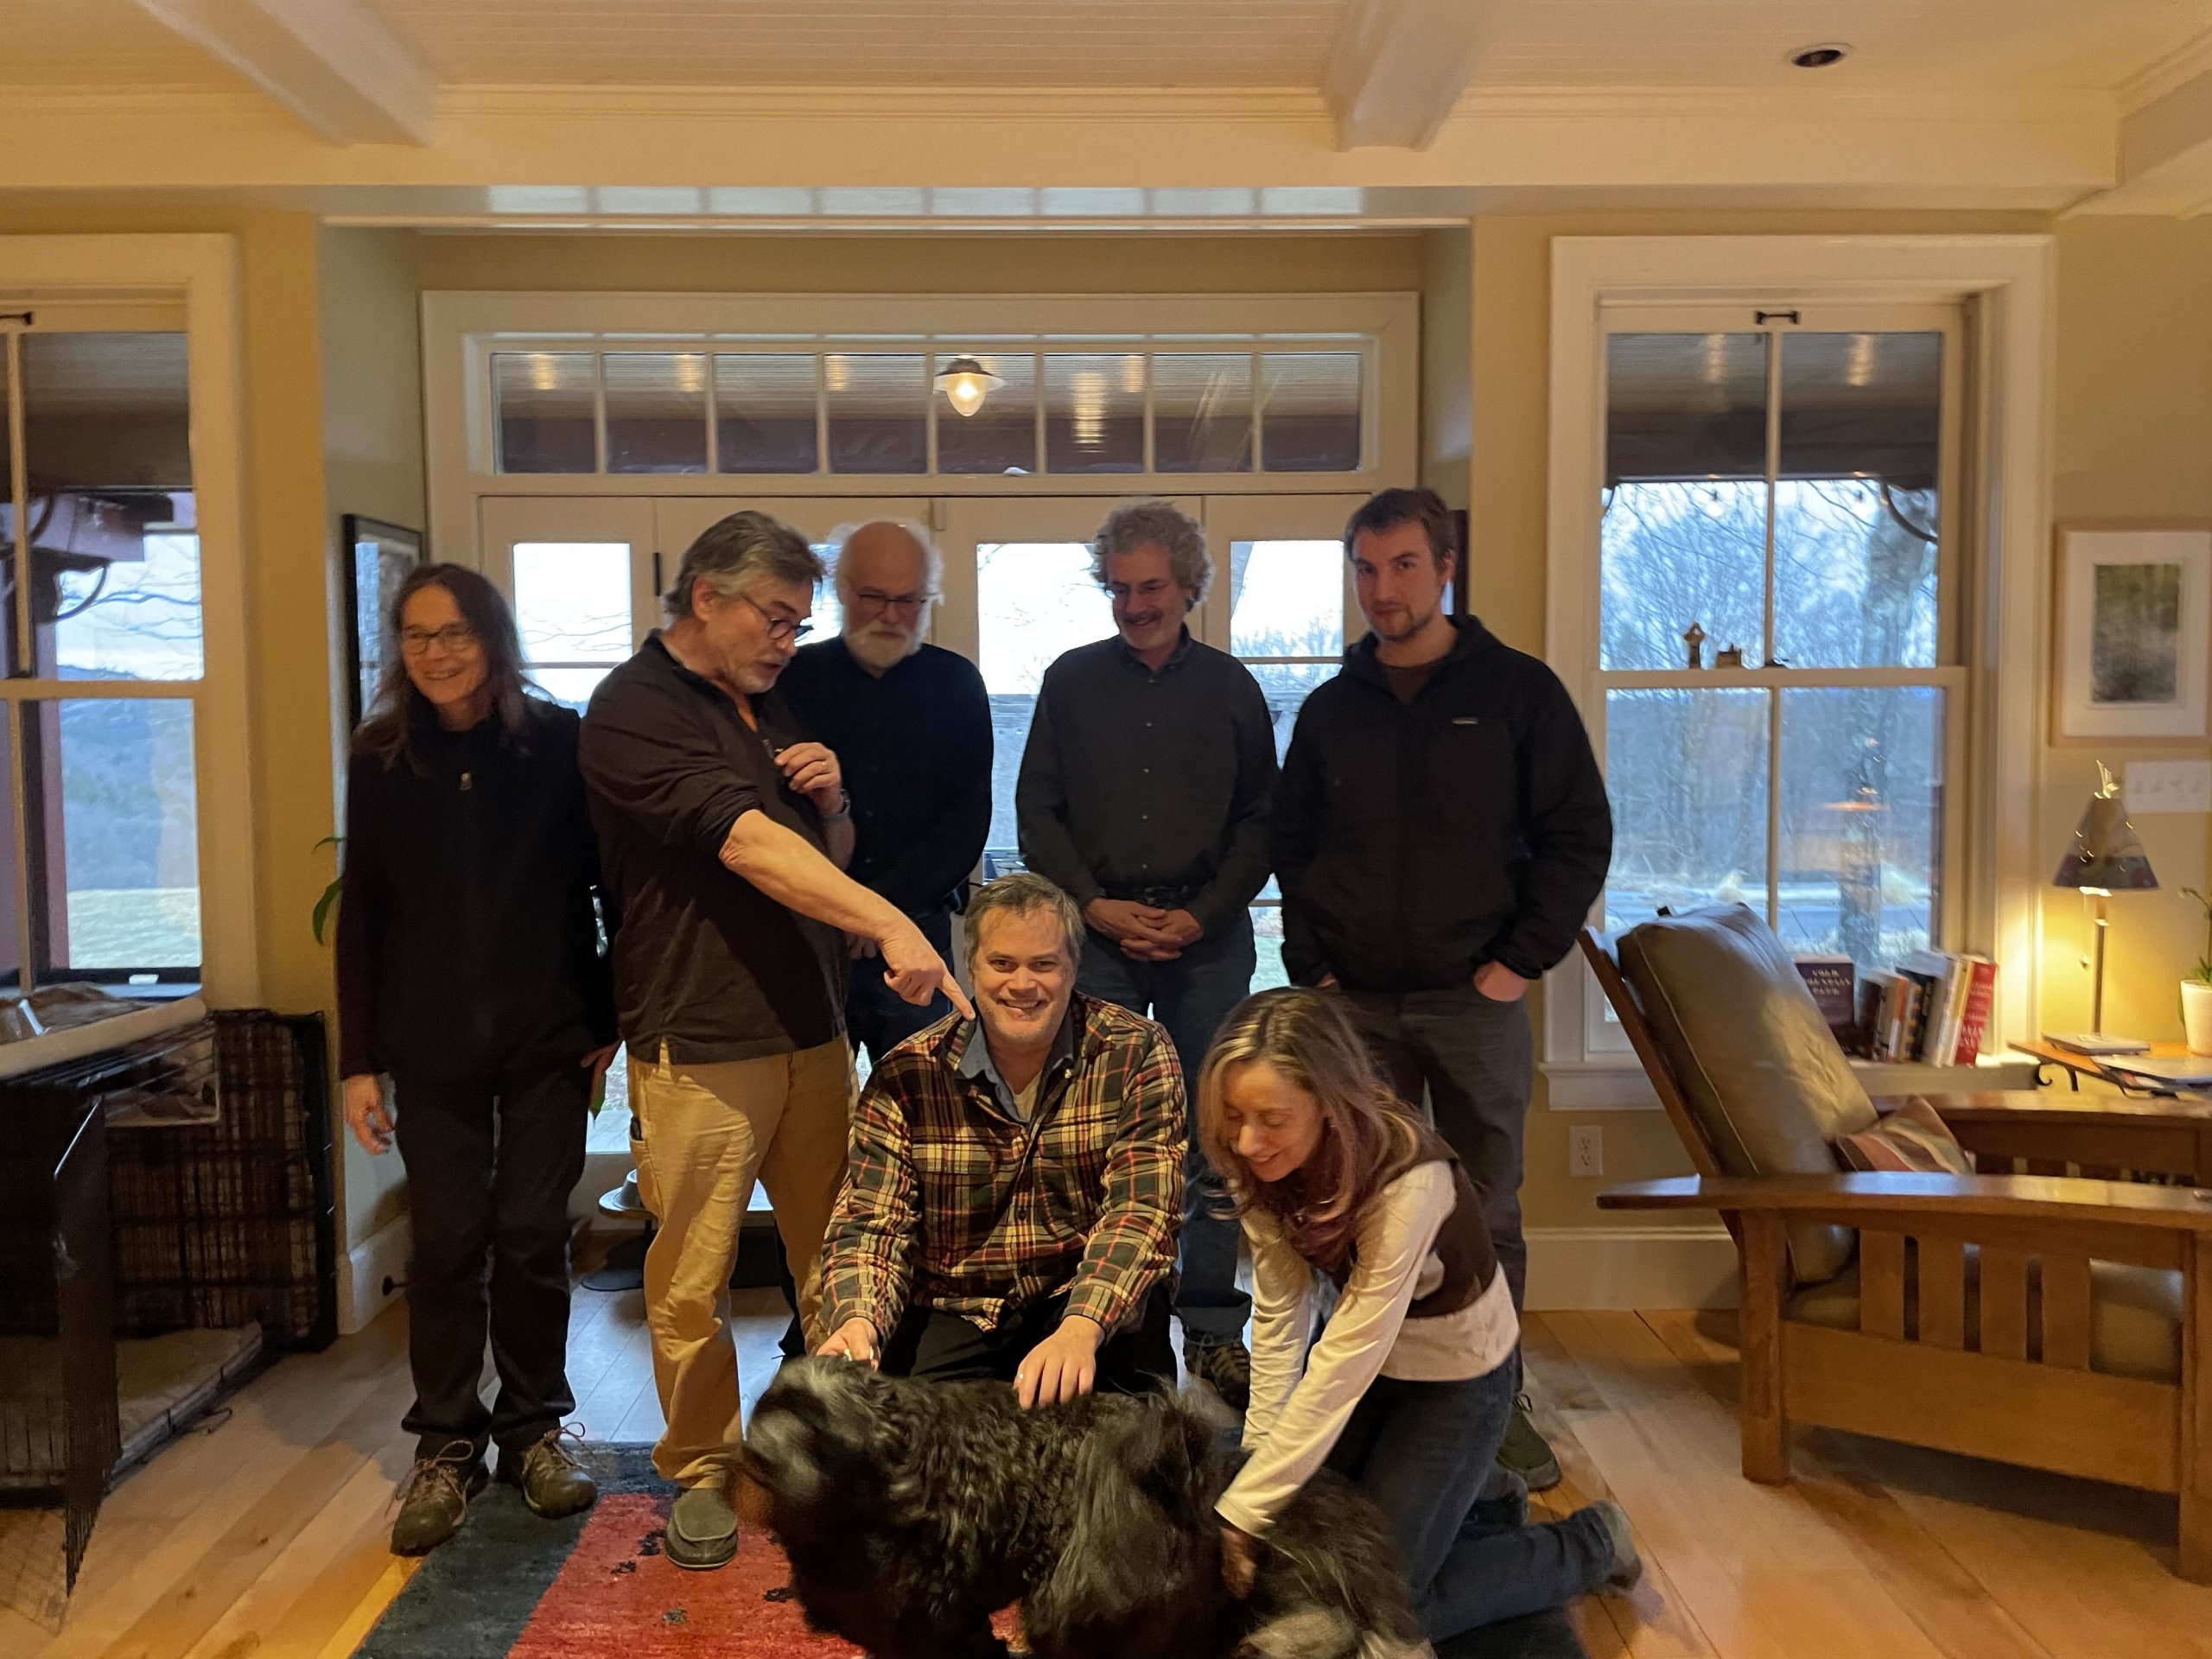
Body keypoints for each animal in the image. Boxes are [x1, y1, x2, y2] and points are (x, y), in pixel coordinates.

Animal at [739, 1356, 1432, 1659]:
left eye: (818, 1428)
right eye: (770, 1408)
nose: (758, 1457)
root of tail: (1187, 1475)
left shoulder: (928, 1616)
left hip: (1075, 1605)